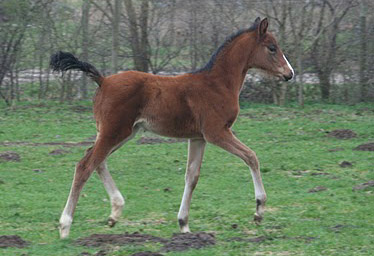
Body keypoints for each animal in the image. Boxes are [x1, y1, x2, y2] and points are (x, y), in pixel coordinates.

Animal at [51, 17, 294, 238]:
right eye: (272, 47)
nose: (289, 73)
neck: (218, 83)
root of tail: (103, 80)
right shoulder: (216, 132)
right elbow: (251, 156)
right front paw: (259, 210)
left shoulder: (198, 138)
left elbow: (192, 176)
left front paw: (183, 224)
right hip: (114, 132)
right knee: (85, 165)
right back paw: (65, 226)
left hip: (123, 132)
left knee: (96, 161)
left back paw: (114, 213)